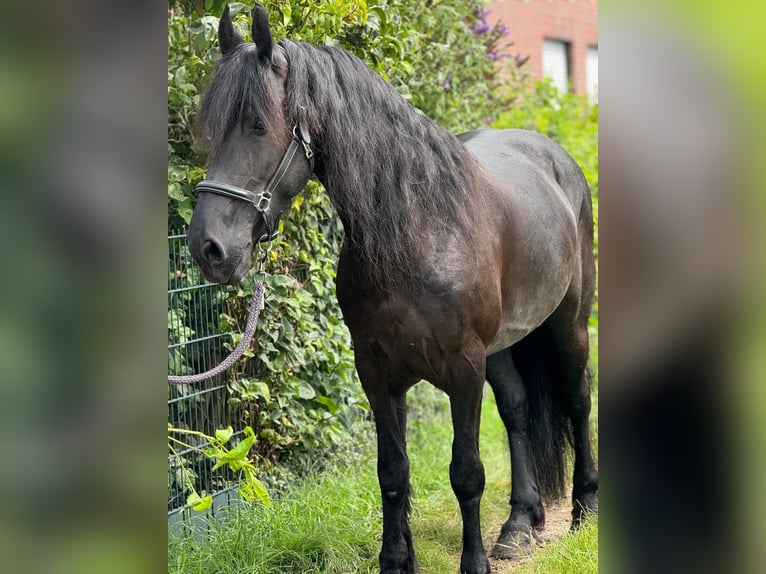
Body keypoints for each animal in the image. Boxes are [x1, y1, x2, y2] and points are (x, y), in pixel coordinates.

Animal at [188, 5, 600, 574]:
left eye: (257, 125)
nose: (207, 247)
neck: (415, 230)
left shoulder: (464, 368)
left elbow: (466, 472)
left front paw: (473, 563)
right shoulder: (377, 372)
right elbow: (393, 472)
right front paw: (395, 560)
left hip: (569, 324)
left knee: (579, 403)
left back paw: (584, 509)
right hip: (504, 345)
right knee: (518, 413)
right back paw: (519, 525)